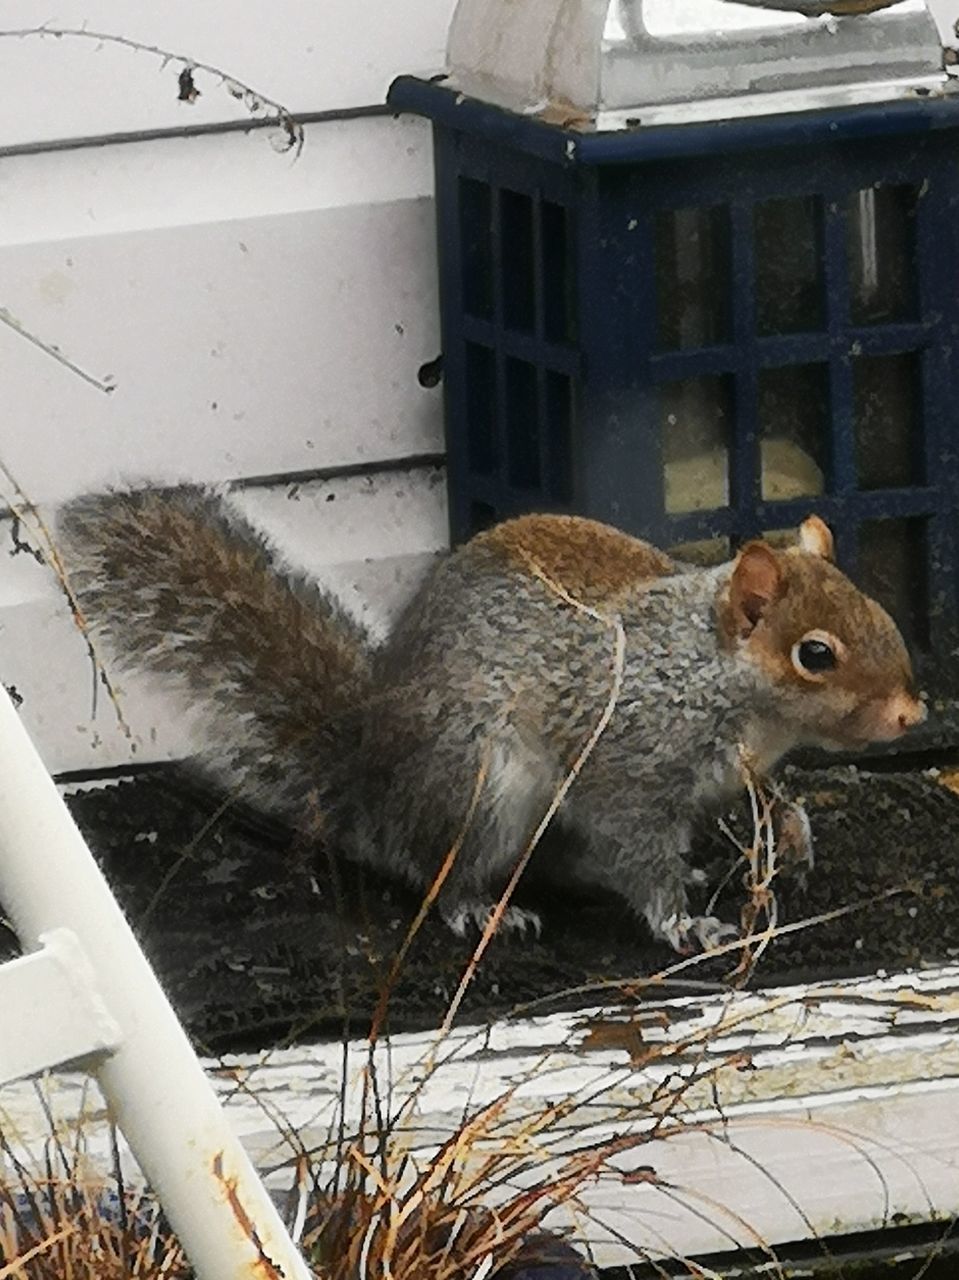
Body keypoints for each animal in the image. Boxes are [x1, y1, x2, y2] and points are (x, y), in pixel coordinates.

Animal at [56, 488, 921, 952]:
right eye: (815, 654)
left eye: (879, 606)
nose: (911, 713)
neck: (706, 674)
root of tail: (374, 786)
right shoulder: (627, 764)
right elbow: (640, 851)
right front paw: (684, 925)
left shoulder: (735, 770)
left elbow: (767, 800)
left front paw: (793, 836)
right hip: (483, 788)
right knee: (443, 872)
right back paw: (479, 909)